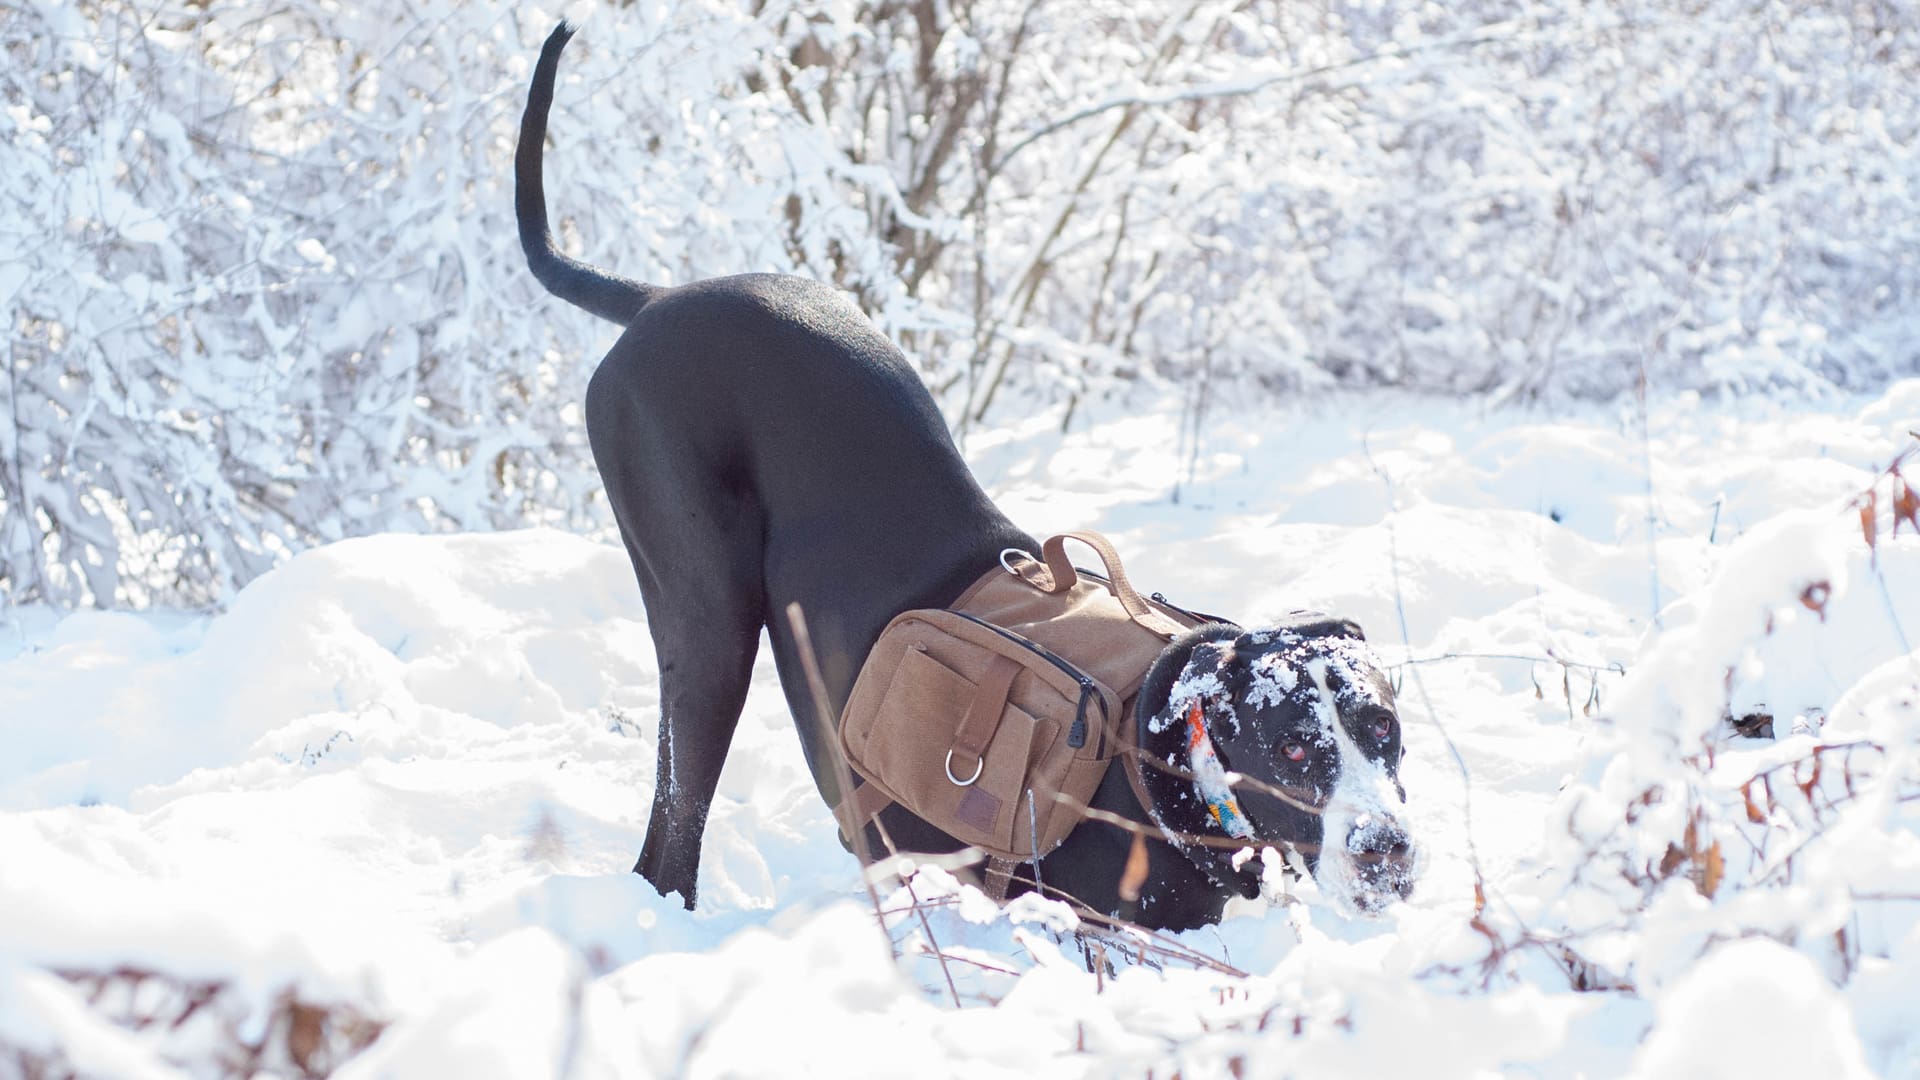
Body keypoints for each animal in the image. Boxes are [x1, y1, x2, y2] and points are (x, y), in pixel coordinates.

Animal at [518, 23, 1420, 926]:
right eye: (1292, 747)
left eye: (1382, 727)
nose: (1386, 848)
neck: (1168, 744)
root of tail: (657, 299)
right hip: (707, 622)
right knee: (673, 829)